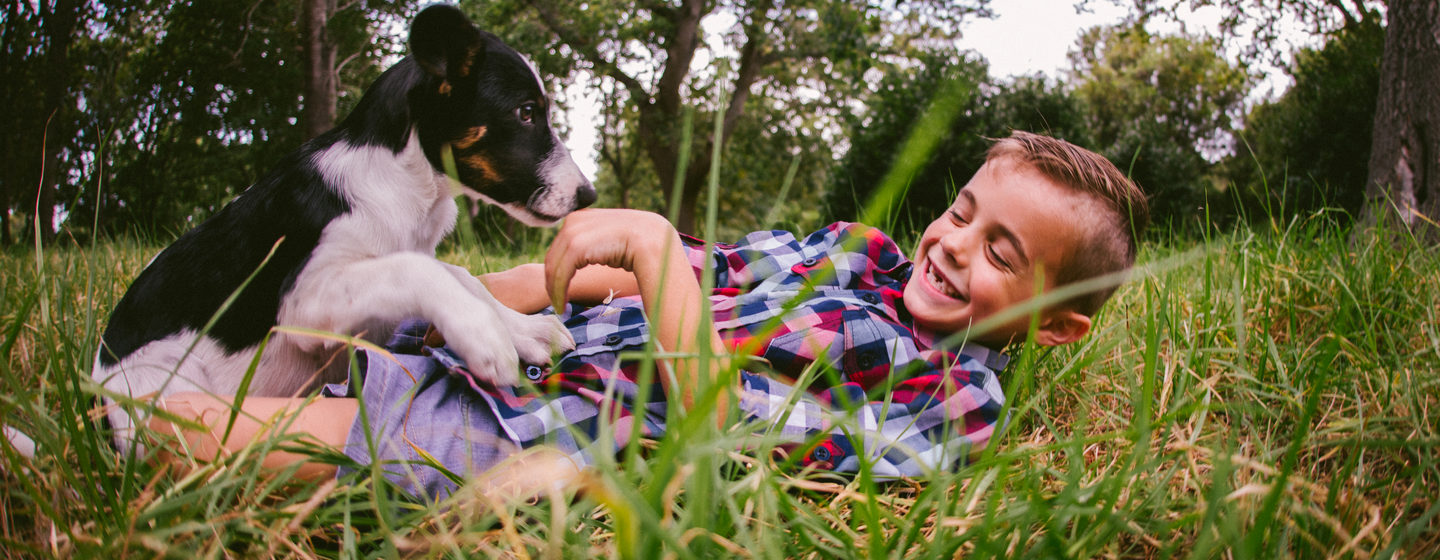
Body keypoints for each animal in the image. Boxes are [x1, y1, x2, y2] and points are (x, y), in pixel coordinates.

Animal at [91, 4, 596, 446]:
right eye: (525, 112)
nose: (588, 197)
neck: (401, 179)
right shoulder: (304, 302)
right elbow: (419, 270)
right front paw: (485, 334)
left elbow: (459, 275)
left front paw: (523, 329)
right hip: (162, 390)